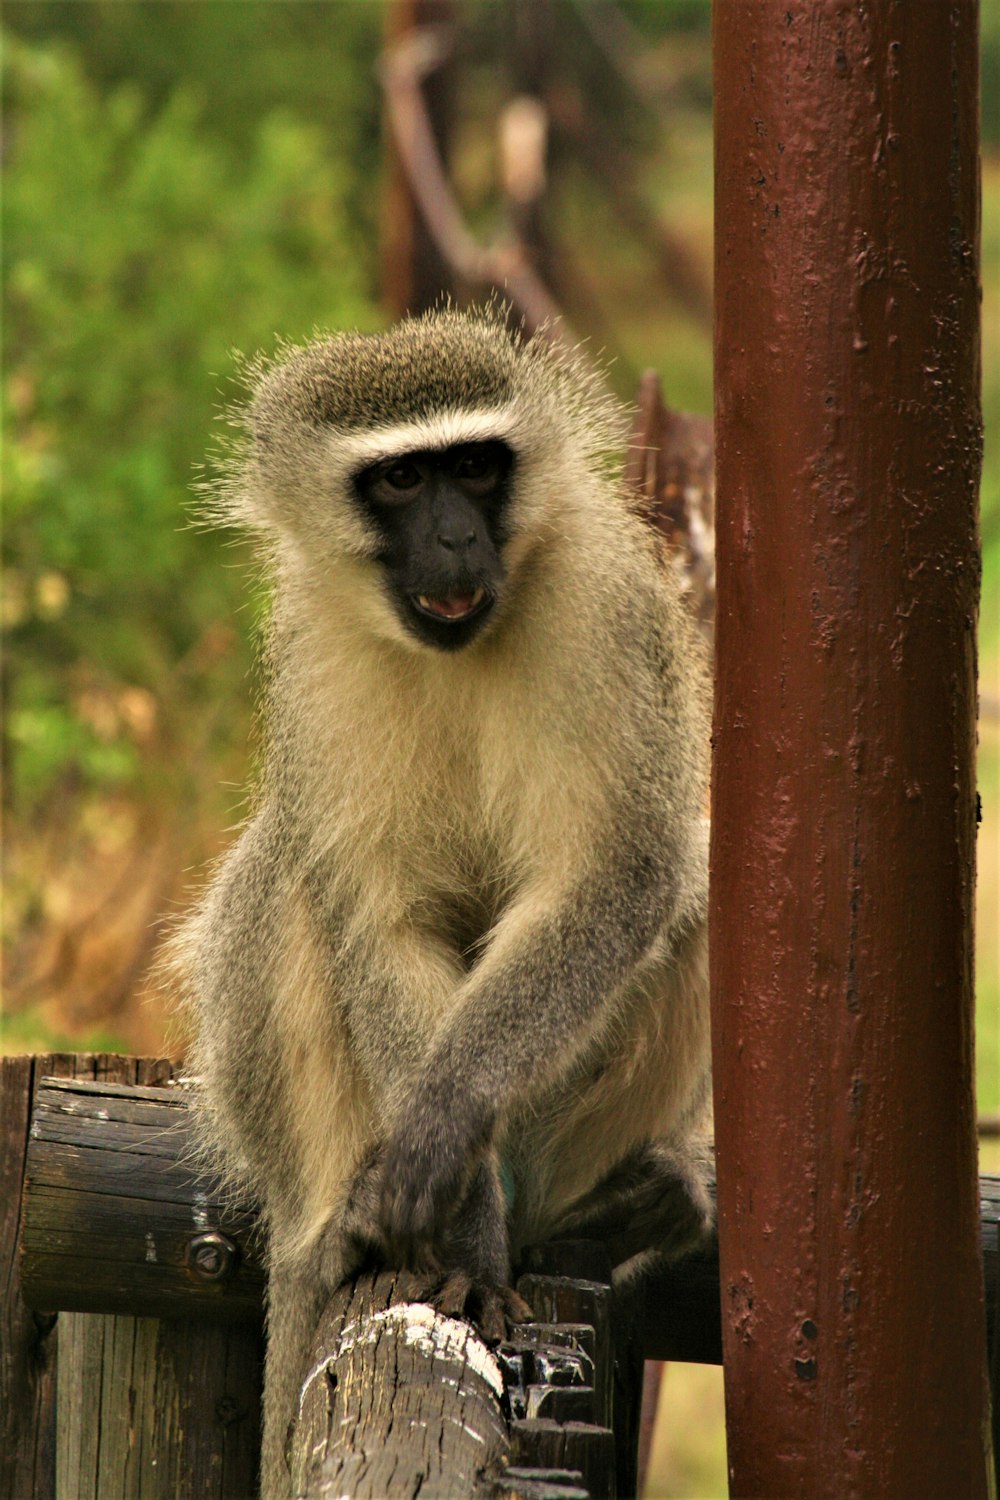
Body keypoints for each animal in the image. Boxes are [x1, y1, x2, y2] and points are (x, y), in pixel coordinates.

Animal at [176, 307, 716, 1500]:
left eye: (474, 468)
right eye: (399, 480)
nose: (460, 543)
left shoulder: (607, 605)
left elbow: (620, 875)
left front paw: (440, 1130)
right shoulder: (309, 654)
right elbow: (376, 917)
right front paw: (457, 1232)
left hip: (546, 1134)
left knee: (692, 888)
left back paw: (605, 1212)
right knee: (296, 876)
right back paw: (353, 1234)